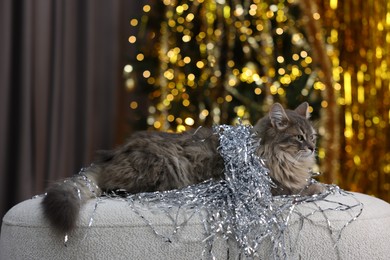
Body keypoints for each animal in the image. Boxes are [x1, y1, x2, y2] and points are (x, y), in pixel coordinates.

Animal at [42, 101, 322, 234]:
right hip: (164, 166)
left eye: (312, 136)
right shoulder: (269, 188)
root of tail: (112, 155)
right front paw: (317, 188)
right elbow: (300, 188)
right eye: (299, 138)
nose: (312, 148)